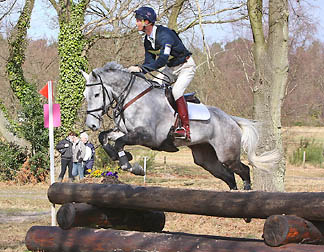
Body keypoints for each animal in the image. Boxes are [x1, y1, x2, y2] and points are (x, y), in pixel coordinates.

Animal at [82, 62, 280, 190]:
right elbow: (105, 137)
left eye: (97, 94)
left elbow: (119, 142)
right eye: (85, 95)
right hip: (205, 158)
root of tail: (231, 119)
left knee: (243, 170)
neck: (133, 97)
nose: (91, 124)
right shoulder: (124, 131)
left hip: (227, 155)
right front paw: (121, 157)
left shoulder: (148, 136)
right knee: (229, 177)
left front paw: (131, 166)